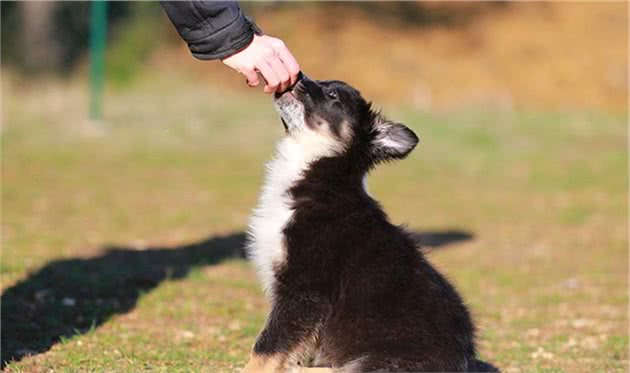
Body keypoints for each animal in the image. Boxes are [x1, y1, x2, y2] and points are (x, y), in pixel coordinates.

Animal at [246, 74, 498, 370]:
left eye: (332, 95)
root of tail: (464, 362)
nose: (296, 76)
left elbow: (267, 347)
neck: (320, 175)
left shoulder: (305, 290)